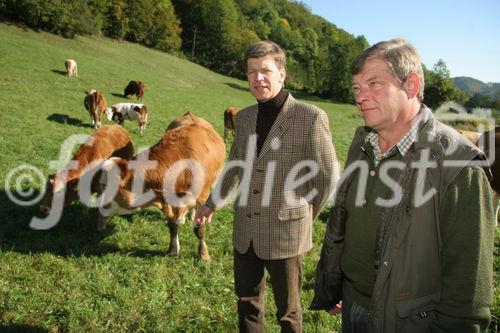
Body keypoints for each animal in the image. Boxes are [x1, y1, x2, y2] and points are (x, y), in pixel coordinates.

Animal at [98, 111, 227, 260]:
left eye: (108, 187)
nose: (99, 209)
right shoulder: (166, 201)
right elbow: (173, 225)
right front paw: (173, 250)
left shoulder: (201, 197)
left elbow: (199, 228)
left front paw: (203, 255)